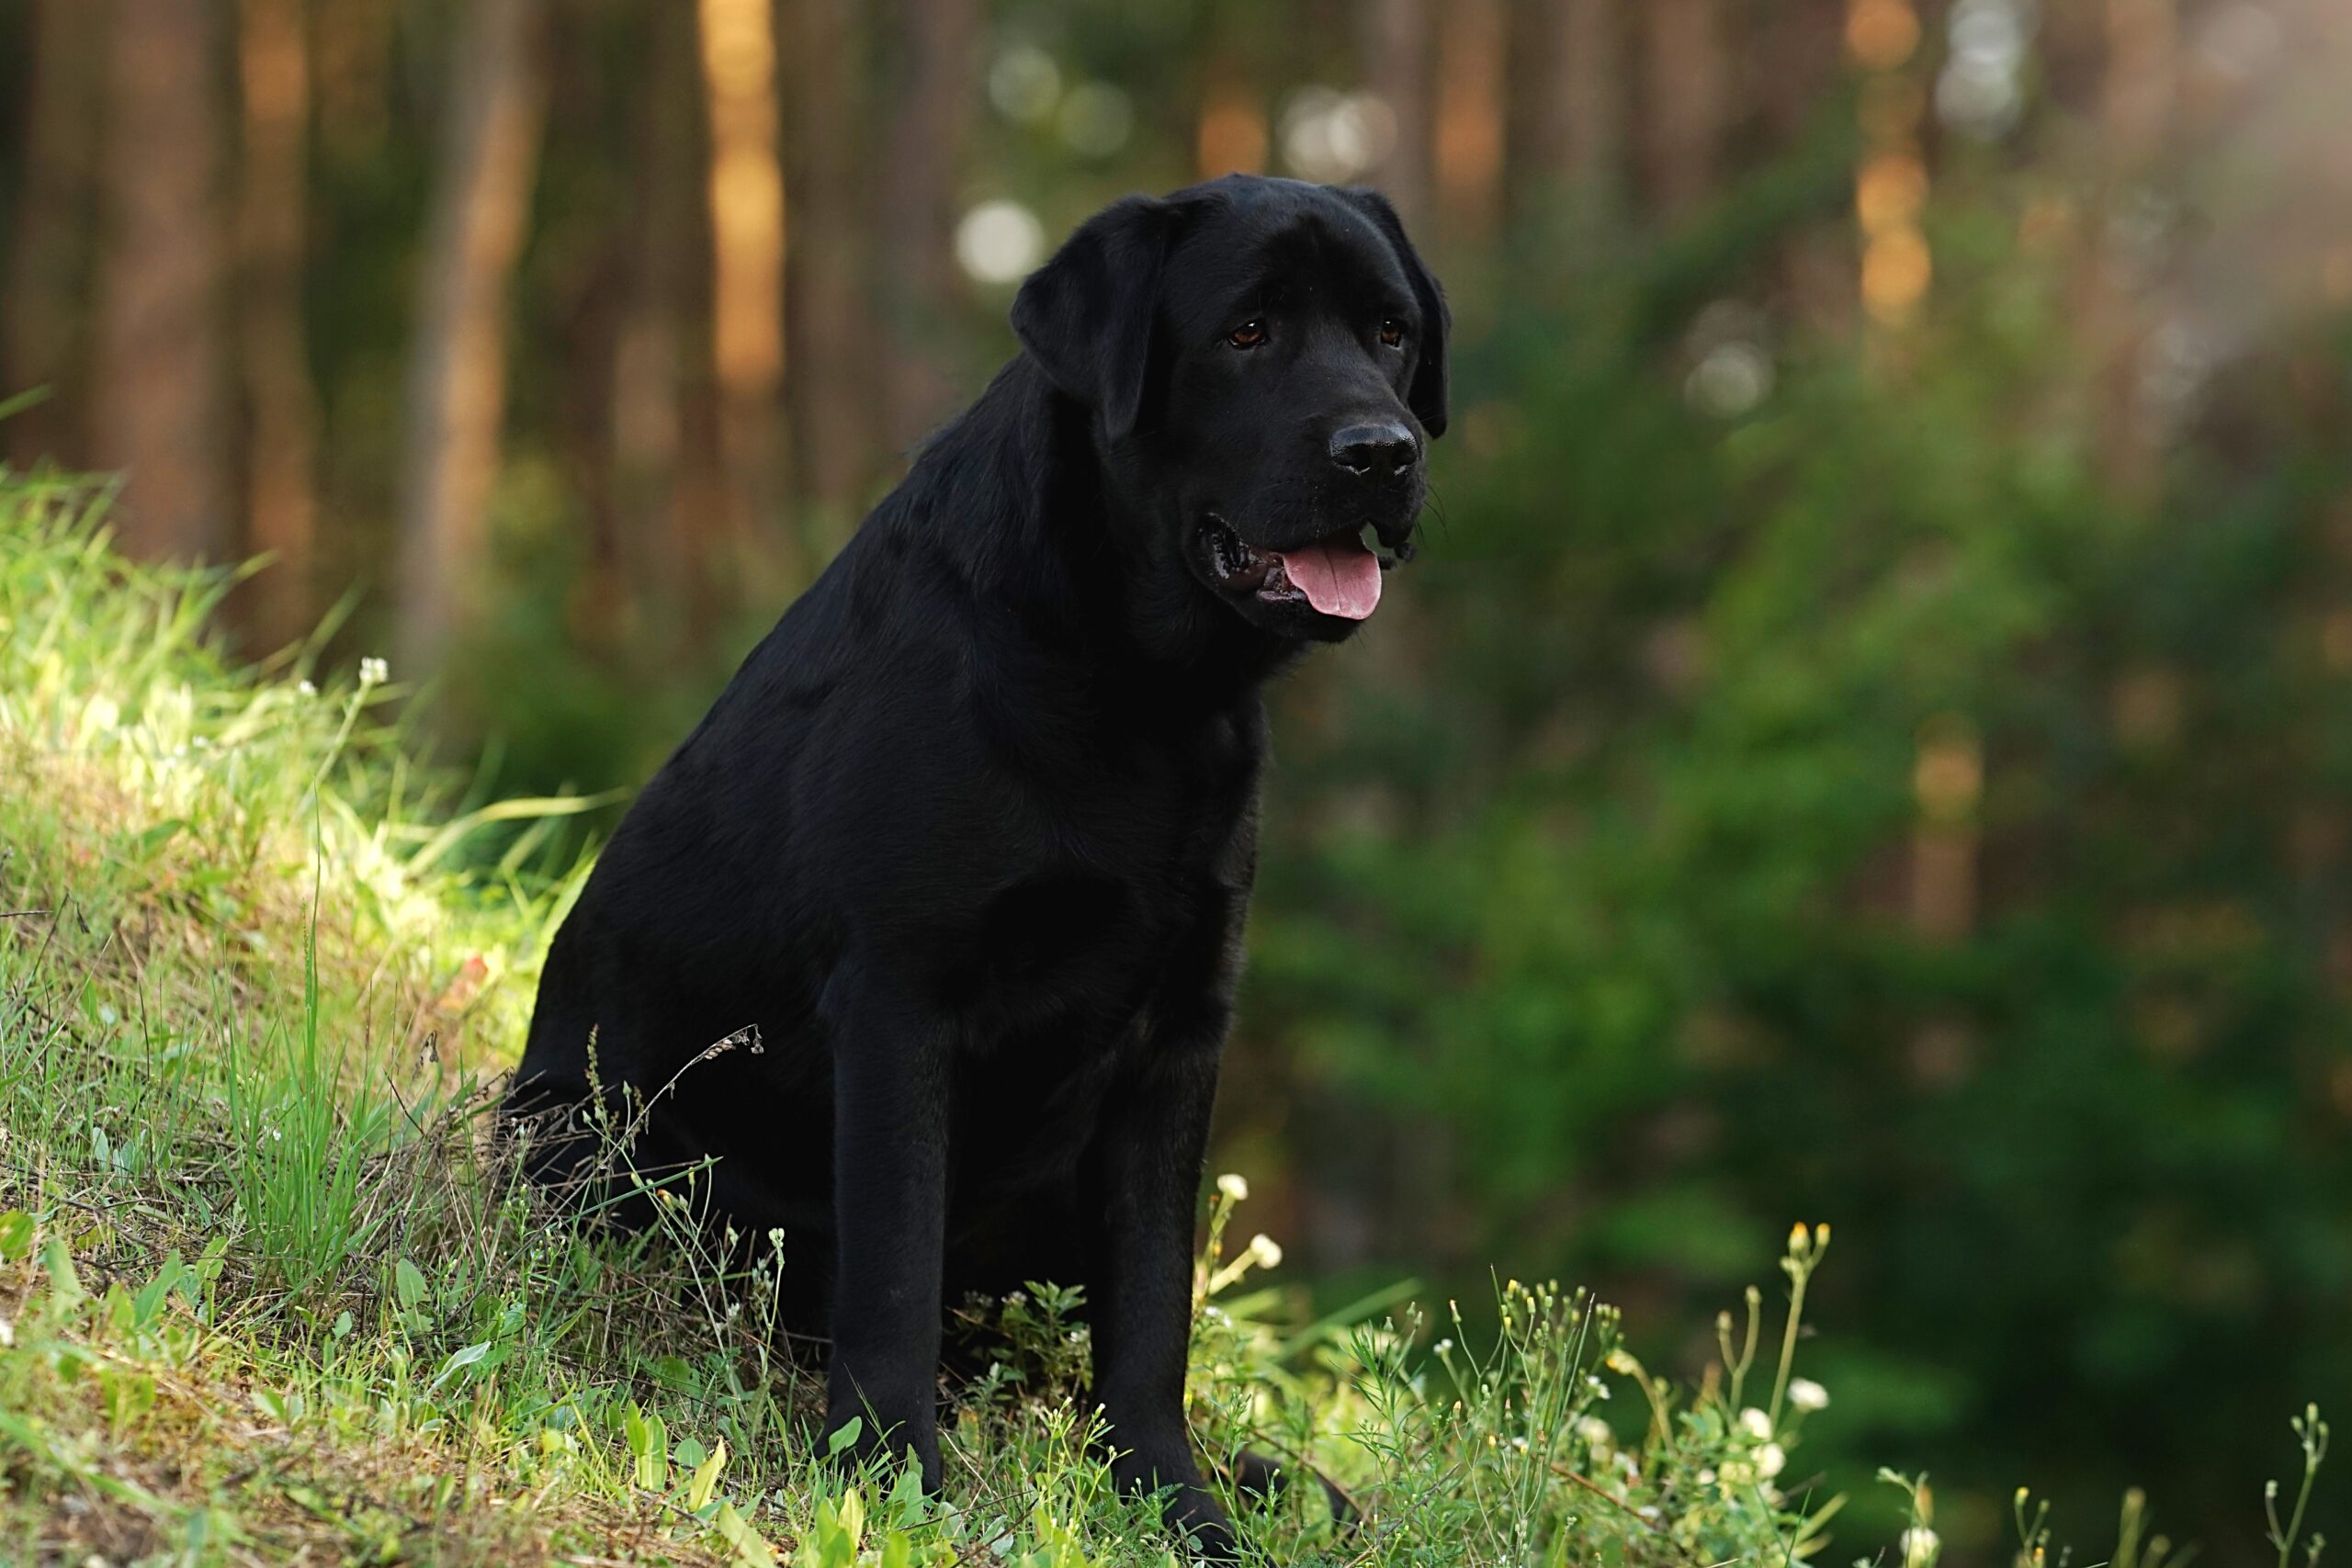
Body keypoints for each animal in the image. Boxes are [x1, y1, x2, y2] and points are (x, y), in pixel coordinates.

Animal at [505, 175, 1439, 1561]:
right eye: (1247, 332)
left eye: (1390, 332)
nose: (1383, 451)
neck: (1140, 692)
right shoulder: (902, 998)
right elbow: (895, 1268)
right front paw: (891, 1475)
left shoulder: (1179, 1040)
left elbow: (1149, 1322)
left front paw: (1179, 1507)